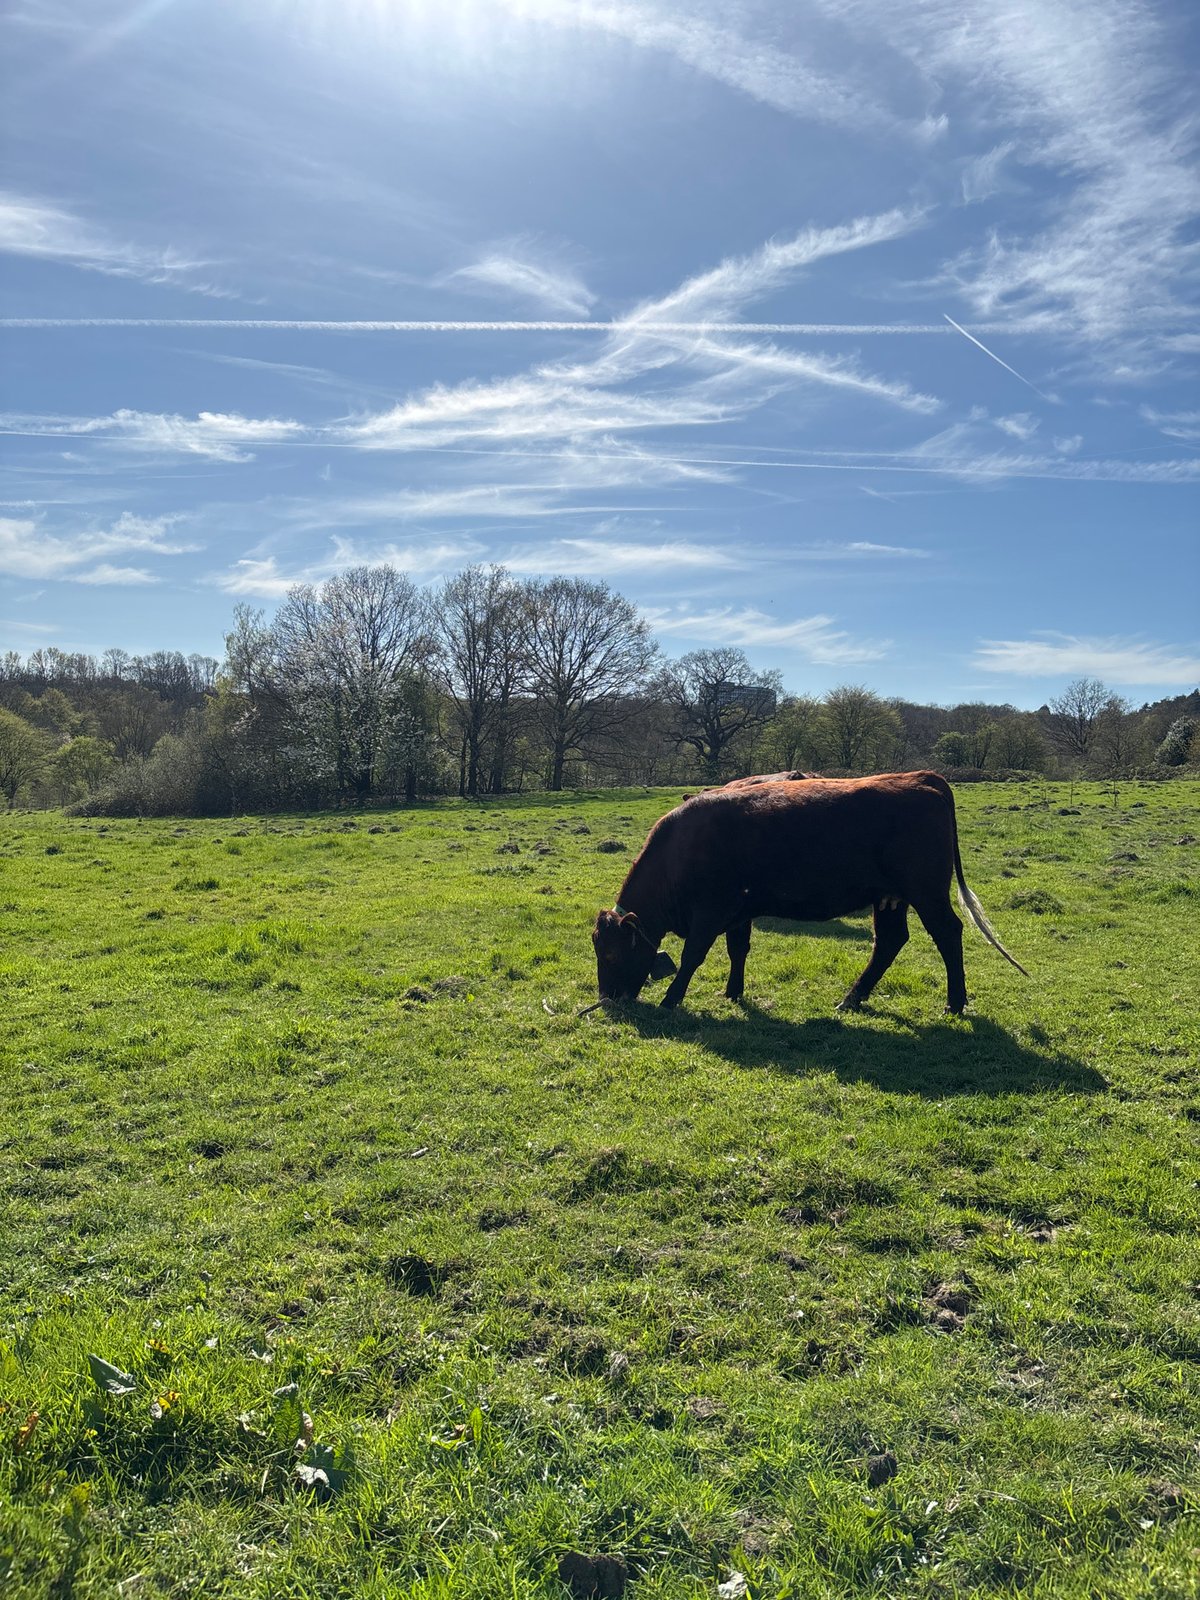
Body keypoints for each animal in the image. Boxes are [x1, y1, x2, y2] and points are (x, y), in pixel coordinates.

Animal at [590, 771, 1026, 1015]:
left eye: (610, 954)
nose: (608, 998)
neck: (682, 848)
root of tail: (922, 777)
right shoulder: (739, 911)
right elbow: (738, 950)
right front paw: (732, 993)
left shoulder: (711, 911)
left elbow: (691, 956)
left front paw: (671, 1000)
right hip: (890, 898)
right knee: (890, 942)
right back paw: (852, 998)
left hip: (927, 892)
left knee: (948, 933)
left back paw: (955, 1002)